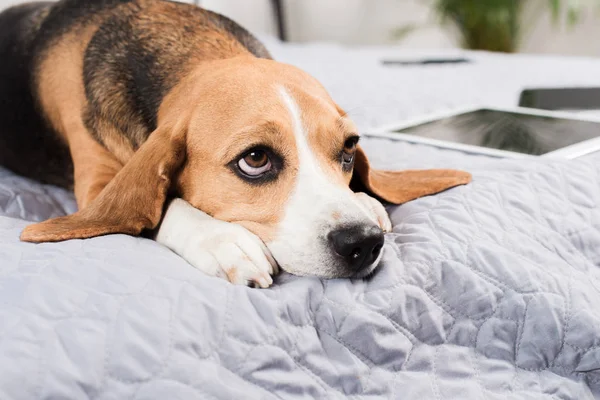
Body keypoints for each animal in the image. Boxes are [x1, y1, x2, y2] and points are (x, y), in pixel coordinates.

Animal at [2, 0, 472, 288]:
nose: (363, 242)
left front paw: (366, 200)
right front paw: (221, 240)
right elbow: (153, 207)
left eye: (350, 148)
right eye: (256, 159)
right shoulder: (97, 185)